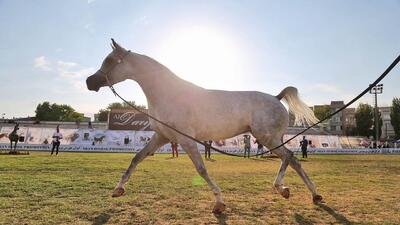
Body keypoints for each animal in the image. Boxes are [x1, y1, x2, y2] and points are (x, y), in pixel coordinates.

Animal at [86, 39, 324, 214]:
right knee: (288, 159)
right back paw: (288, 190)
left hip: (268, 138)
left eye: (110, 60)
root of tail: (276, 98)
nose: (89, 82)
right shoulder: (162, 137)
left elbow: (201, 169)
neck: (169, 95)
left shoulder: (186, 140)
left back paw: (307, 193)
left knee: (291, 159)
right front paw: (118, 189)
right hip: (271, 139)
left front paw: (219, 203)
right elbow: (136, 158)